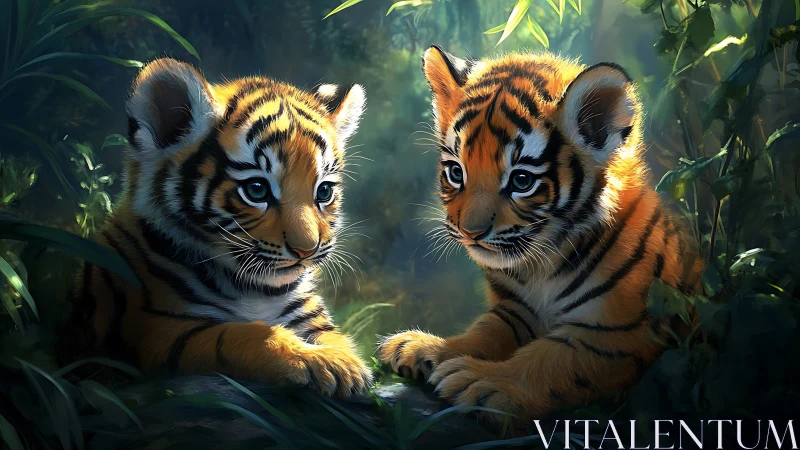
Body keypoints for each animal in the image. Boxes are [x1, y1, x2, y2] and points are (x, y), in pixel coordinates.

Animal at [61, 57, 373, 397]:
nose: (307, 250)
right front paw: (316, 361)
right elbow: (244, 334)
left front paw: (346, 362)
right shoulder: (159, 328)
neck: (256, 289)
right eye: (256, 190)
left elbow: (334, 336)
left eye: (324, 192)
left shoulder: (308, 313)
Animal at [378, 47, 703, 421]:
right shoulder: (515, 310)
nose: (470, 232)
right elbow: (482, 333)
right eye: (456, 172)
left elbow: (549, 360)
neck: (542, 264)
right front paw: (424, 349)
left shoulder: (619, 333)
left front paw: (480, 381)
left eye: (521, 180)